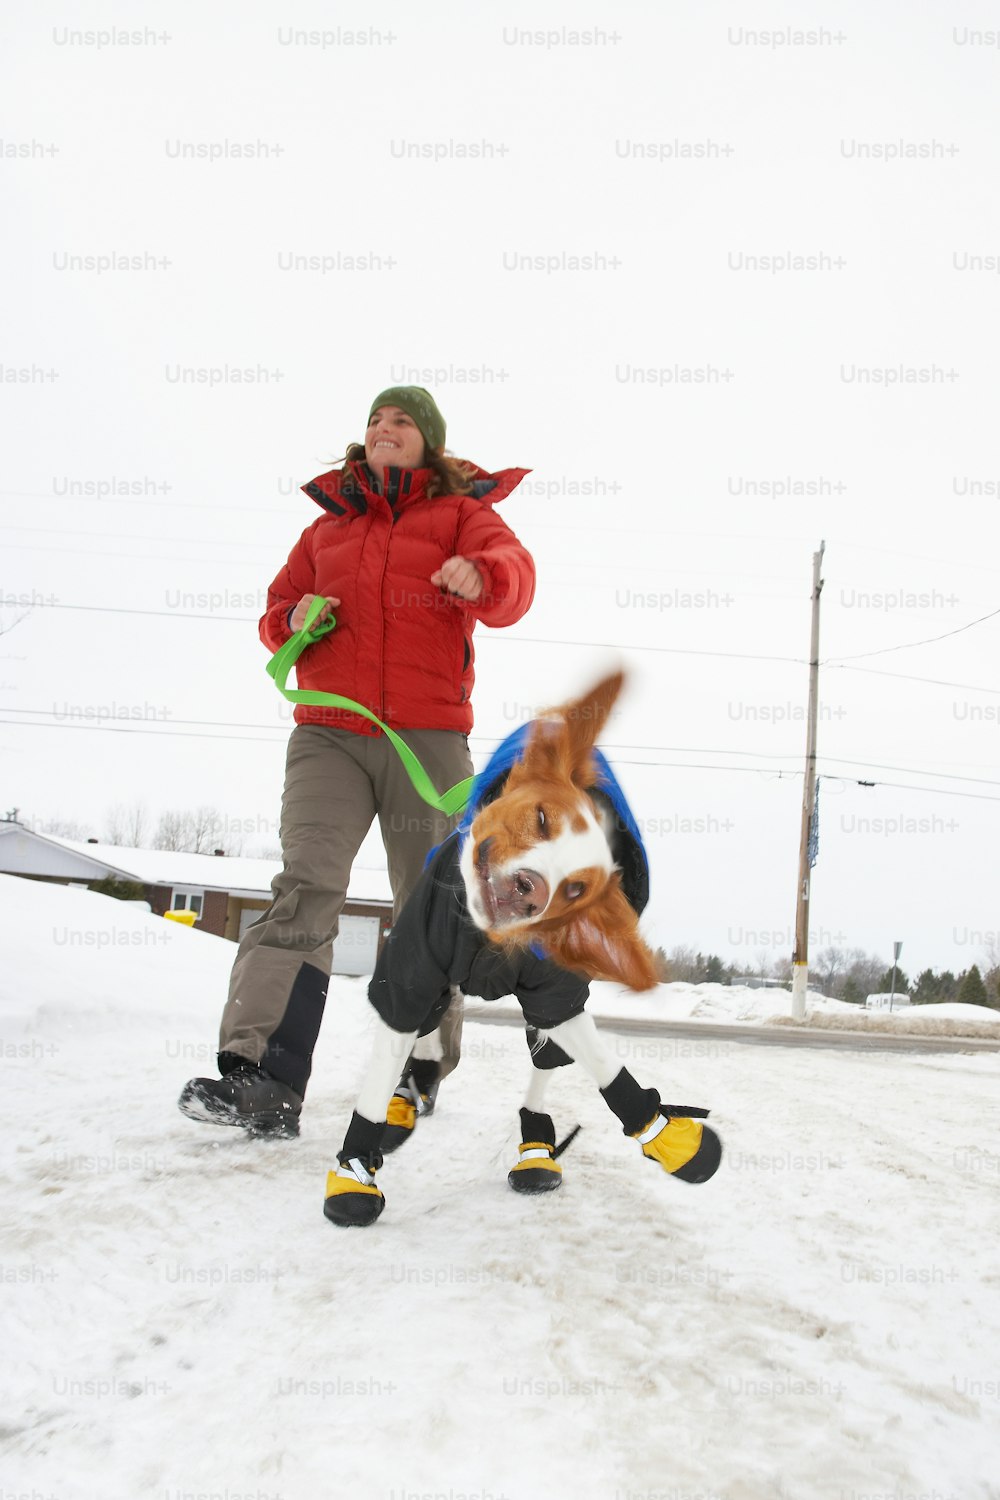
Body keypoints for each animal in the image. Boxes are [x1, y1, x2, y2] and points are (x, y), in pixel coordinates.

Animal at [325, 675, 722, 1224]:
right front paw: (354, 1170)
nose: (530, 889)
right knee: (429, 1025)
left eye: (576, 889)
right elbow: (388, 1055)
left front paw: (665, 1134)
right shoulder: (412, 968)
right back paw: (410, 1092)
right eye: (541, 817)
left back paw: (537, 1151)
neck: (488, 941)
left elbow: (600, 1063)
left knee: (542, 1059)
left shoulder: (557, 994)